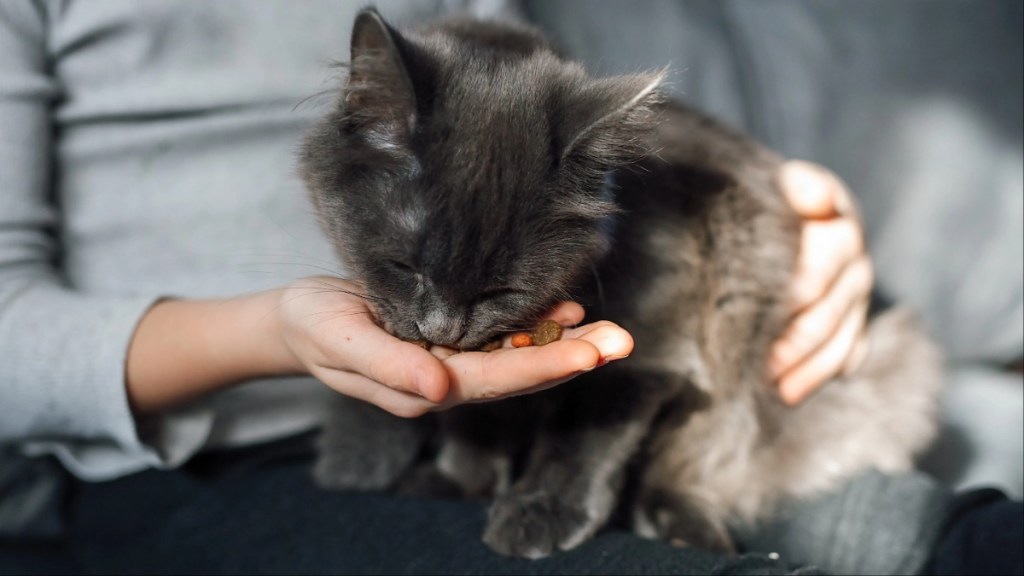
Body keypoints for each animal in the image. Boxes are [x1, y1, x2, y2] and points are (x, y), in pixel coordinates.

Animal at [294, 7, 937, 557]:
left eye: (501, 291)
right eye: (405, 267)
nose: (442, 330)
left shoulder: (654, 347)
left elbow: (586, 431)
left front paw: (539, 511)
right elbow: (475, 419)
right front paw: (464, 479)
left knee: (691, 462)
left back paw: (683, 527)